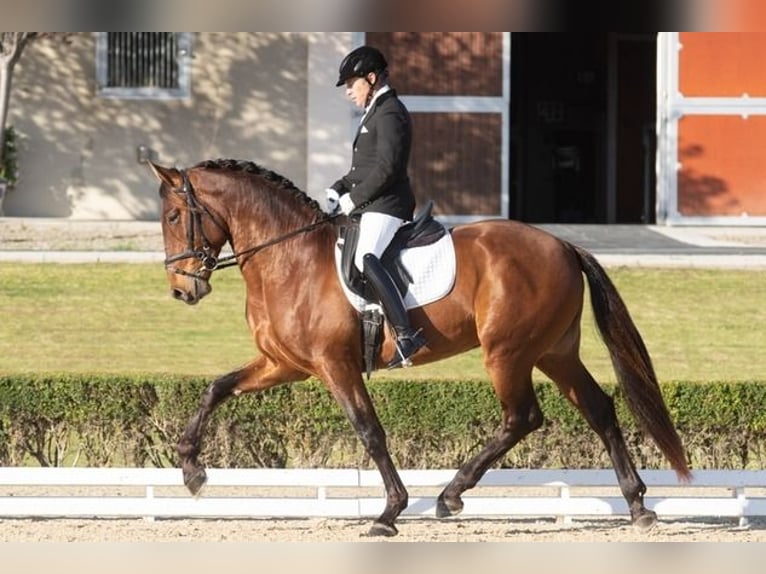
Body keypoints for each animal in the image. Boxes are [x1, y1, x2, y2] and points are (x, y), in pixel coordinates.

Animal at [148, 159, 688, 540]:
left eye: (174, 216)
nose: (181, 290)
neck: (289, 259)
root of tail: (562, 245)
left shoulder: (334, 365)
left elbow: (370, 431)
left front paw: (389, 512)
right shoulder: (285, 364)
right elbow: (217, 388)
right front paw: (191, 469)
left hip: (507, 352)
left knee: (523, 417)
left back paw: (451, 495)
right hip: (554, 351)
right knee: (598, 408)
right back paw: (638, 506)